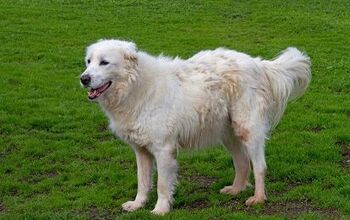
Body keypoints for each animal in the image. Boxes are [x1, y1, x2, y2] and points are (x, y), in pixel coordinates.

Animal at [80, 39, 310, 215]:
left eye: (104, 62)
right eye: (88, 61)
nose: (84, 78)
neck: (135, 86)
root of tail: (258, 63)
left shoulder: (163, 149)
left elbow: (162, 184)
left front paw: (160, 210)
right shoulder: (141, 151)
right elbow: (143, 181)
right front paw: (138, 204)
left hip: (247, 130)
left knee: (259, 166)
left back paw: (258, 198)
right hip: (228, 133)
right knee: (243, 162)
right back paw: (236, 189)